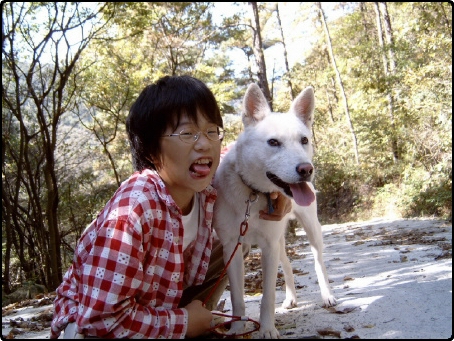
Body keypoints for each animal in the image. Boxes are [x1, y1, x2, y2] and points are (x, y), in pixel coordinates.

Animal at [213, 84, 336, 338]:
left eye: (304, 140)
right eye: (273, 142)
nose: (306, 170)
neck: (254, 194)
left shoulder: (268, 246)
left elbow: (267, 296)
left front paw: (267, 329)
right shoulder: (233, 248)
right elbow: (237, 297)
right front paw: (238, 328)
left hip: (311, 229)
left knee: (318, 262)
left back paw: (327, 295)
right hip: (279, 240)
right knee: (287, 265)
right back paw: (290, 298)